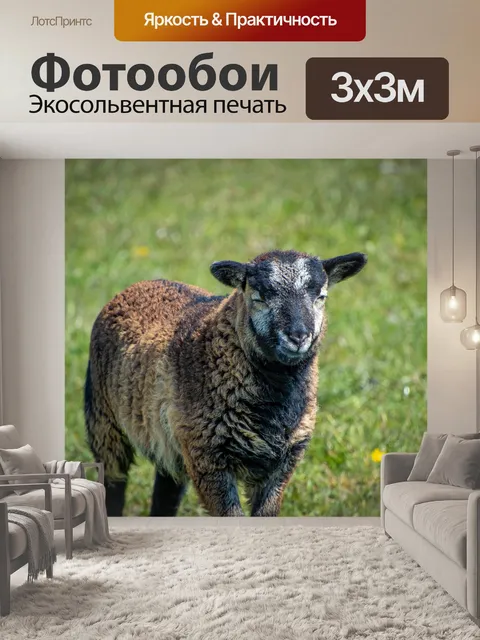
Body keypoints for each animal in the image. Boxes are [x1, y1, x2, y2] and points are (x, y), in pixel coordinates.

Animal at [84, 249, 367, 517]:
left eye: (321, 297)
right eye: (259, 297)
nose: (298, 337)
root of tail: (144, 283)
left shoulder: (284, 461)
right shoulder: (207, 457)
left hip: (168, 441)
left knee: (167, 488)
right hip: (104, 421)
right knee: (113, 482)